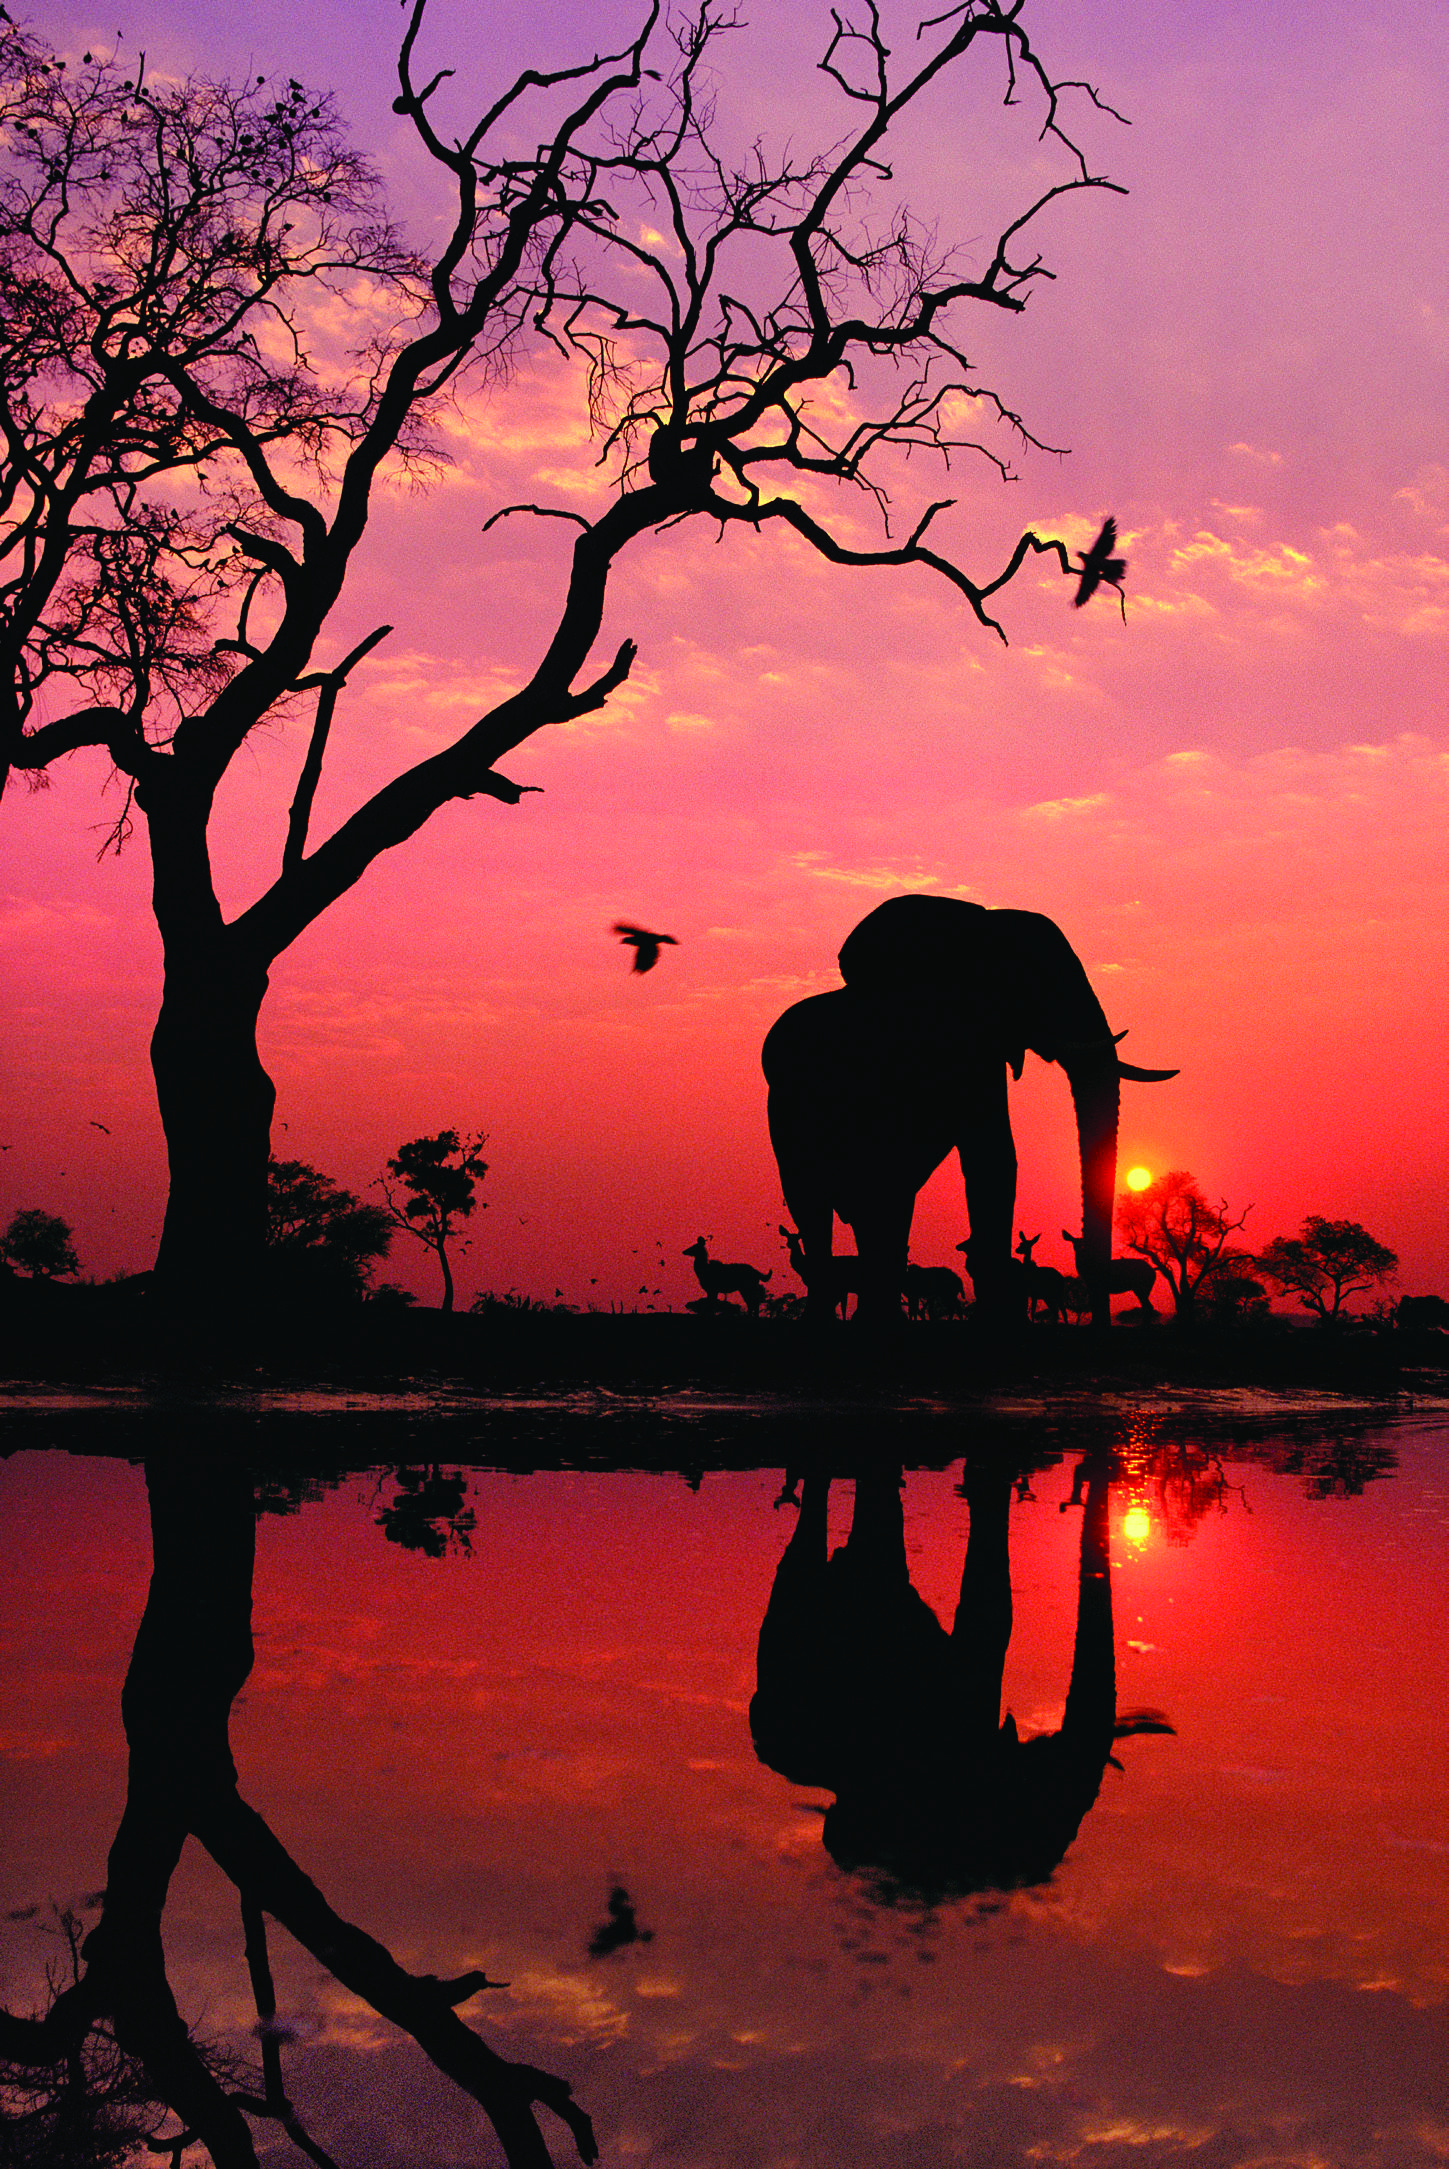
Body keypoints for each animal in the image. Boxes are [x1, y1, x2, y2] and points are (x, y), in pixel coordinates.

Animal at [759, 893, 1180, 1318]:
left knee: (884, 1207)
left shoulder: (982, 1049)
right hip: (785, 1118)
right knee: (816, 1207)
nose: (1096, 1272)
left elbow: (992, 1155)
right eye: (1033, 980)